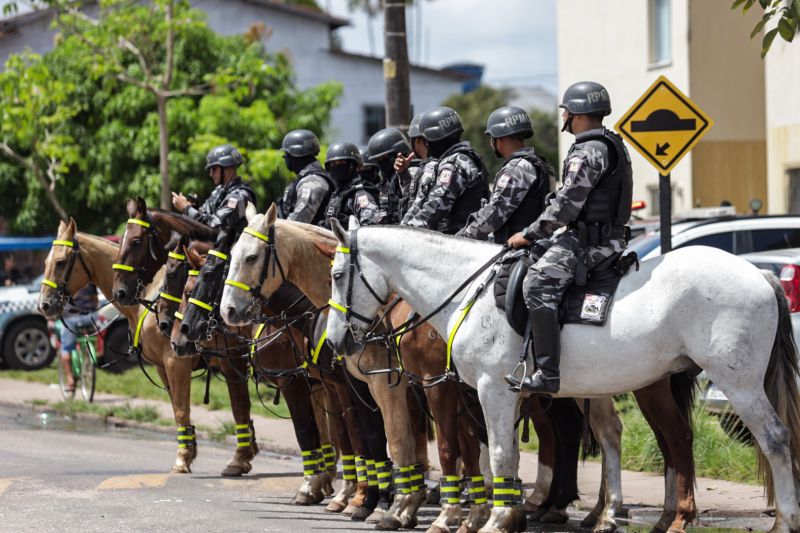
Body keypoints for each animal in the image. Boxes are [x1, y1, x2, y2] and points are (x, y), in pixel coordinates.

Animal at [324, 217, 800, 532]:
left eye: (337, 274)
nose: (334, 341)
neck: (467, 291)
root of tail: (759, 273)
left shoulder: (491, 389)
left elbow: (499, 454)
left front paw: (498, 518)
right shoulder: (488, 394)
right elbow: (493, 453)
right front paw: (502, 513)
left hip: (738, 383)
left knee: (775, 439)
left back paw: (782, 520)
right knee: (677, 438)